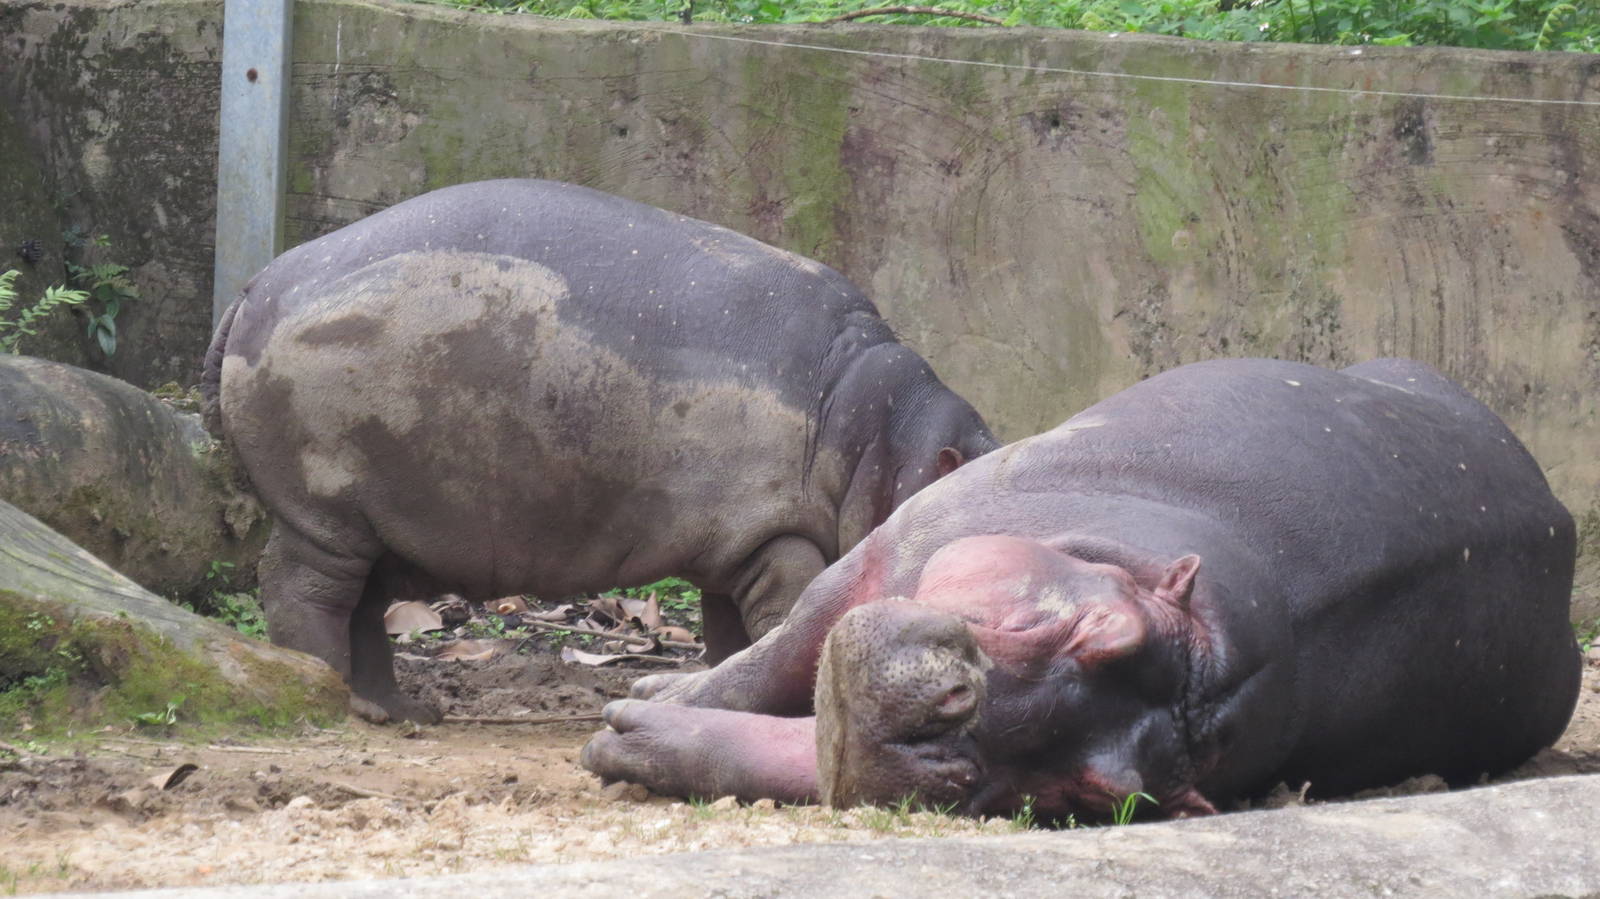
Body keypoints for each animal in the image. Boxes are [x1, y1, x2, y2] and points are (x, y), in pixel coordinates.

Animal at [201, 179, 998, 724]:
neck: (890, 440)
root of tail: (254, 286)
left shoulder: (737, 546)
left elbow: (729, 634)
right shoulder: (780, 538)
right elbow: (782, 622)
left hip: (378, 518)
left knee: (361, 606)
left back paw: (402, 712)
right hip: (325, 508)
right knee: (303, 591)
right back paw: (338, 698)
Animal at [582, 357, 1581, 821]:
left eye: (1095, 791)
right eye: (1100, 629)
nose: (942, 728)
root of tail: (1560, 512)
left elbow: (781, 750)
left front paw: (630, 735)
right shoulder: (881, 555)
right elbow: (762, 663)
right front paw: (653, 695)